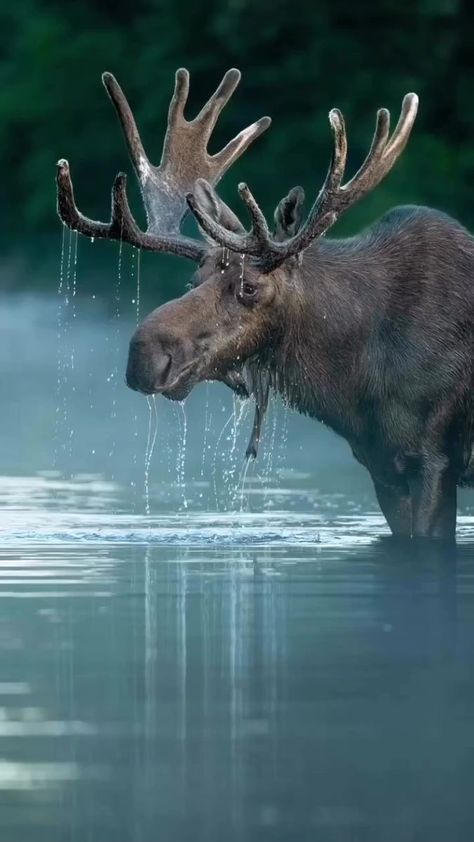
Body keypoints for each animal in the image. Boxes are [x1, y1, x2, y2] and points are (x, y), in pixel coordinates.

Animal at [57, 65, 474, 540]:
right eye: (193, 278)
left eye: (250, 287)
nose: (144, 355)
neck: (351, 381)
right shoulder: (383, 467)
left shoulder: (434, 459)